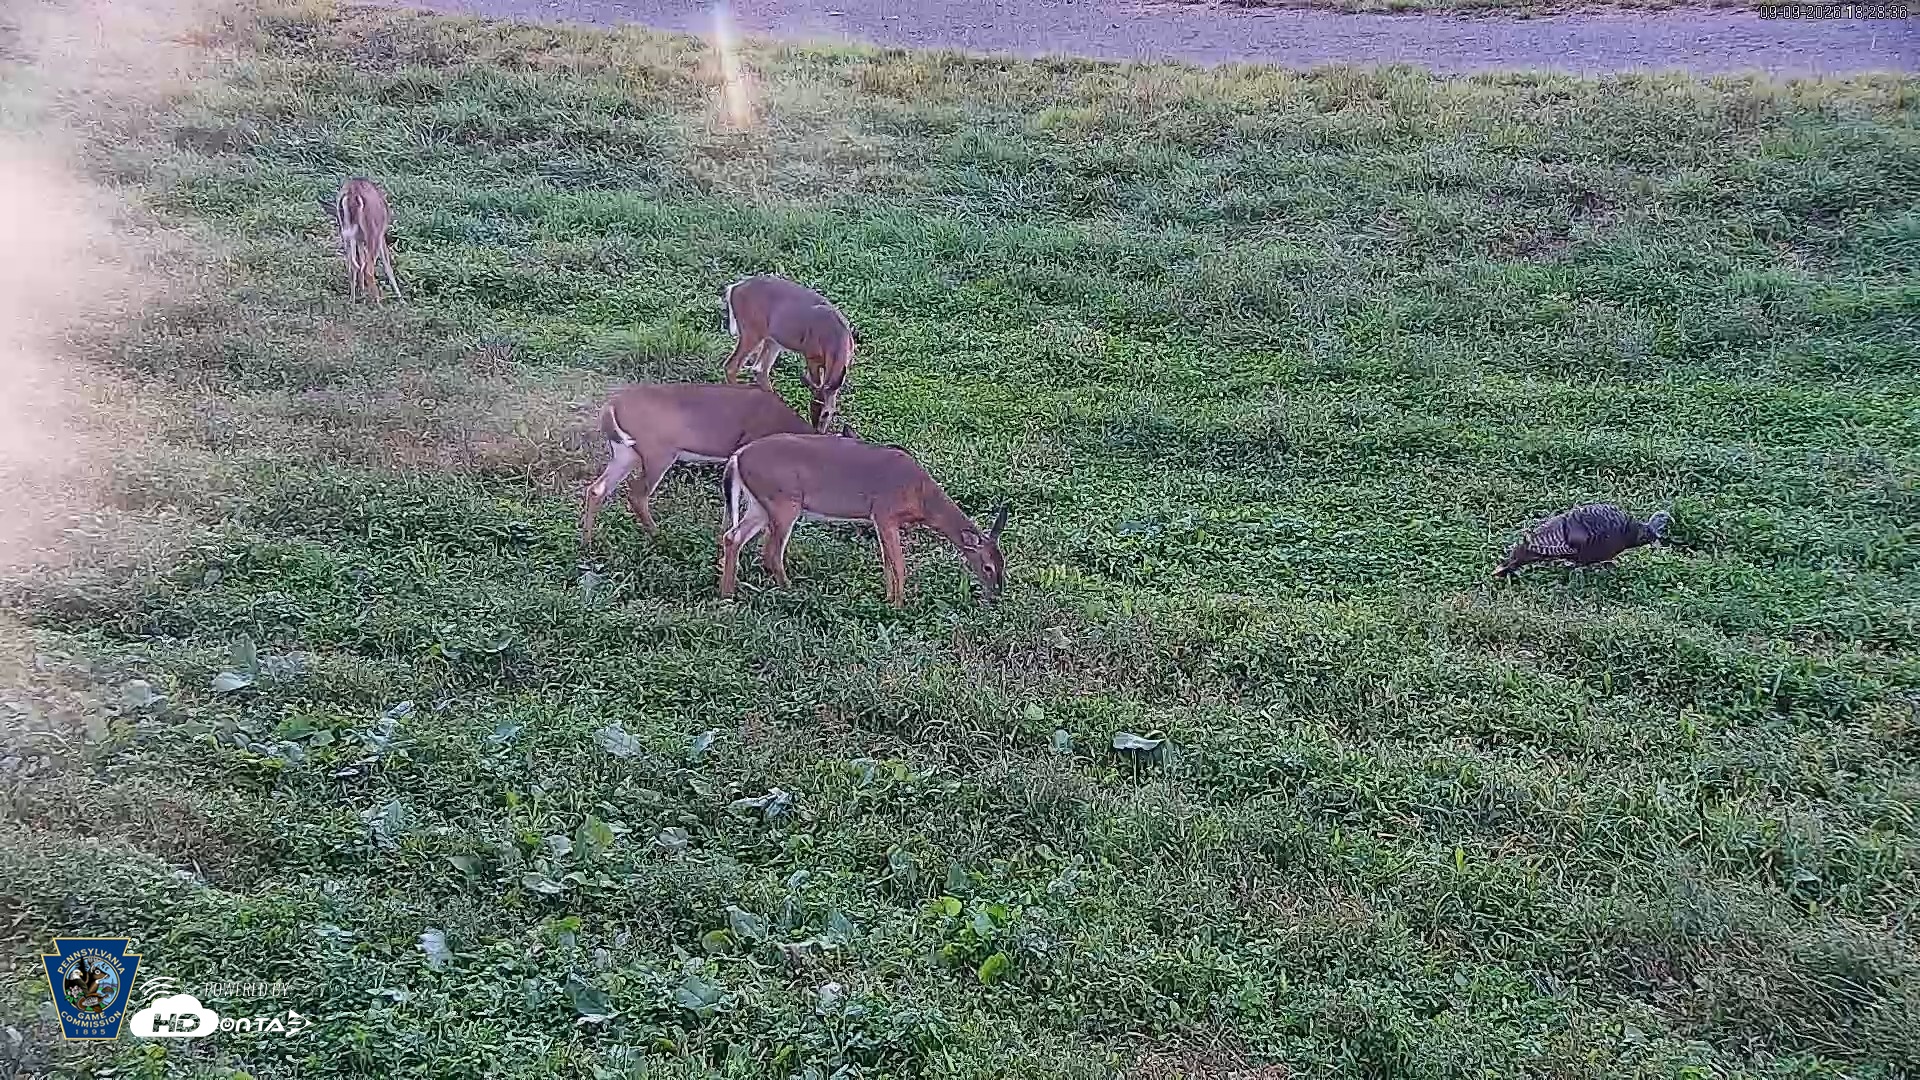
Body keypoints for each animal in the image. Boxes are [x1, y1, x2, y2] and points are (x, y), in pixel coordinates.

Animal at [581, 382, 815, 546]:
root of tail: (610, 407)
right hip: (658, 452)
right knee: (637, 495)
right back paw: (660, 535)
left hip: (625, 452)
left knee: (597, 488)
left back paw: (587, 542)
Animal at [719, 433, 1007, 606]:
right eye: (987, 567)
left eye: (1003, 563)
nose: (997, 593)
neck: (921, 496)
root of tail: (736, 457)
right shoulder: (885, 512)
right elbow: (898, 564)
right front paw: (899, 605)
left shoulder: (881, 519)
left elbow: (887, 562)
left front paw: (889, 600)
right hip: (784, 501)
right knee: (770, 552)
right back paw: (791, 592)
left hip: (760, 504)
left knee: (733, 536)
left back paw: (727, 594)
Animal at [720, 274, 855, 431]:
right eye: (812, 410)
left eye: (827, 413)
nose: (818, 432)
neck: (837, 339)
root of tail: (733, 288)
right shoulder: (811, 355)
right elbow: (816, 382)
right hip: (752, 330)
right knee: (732, 366)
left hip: (772, 338)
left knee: (759, 369)